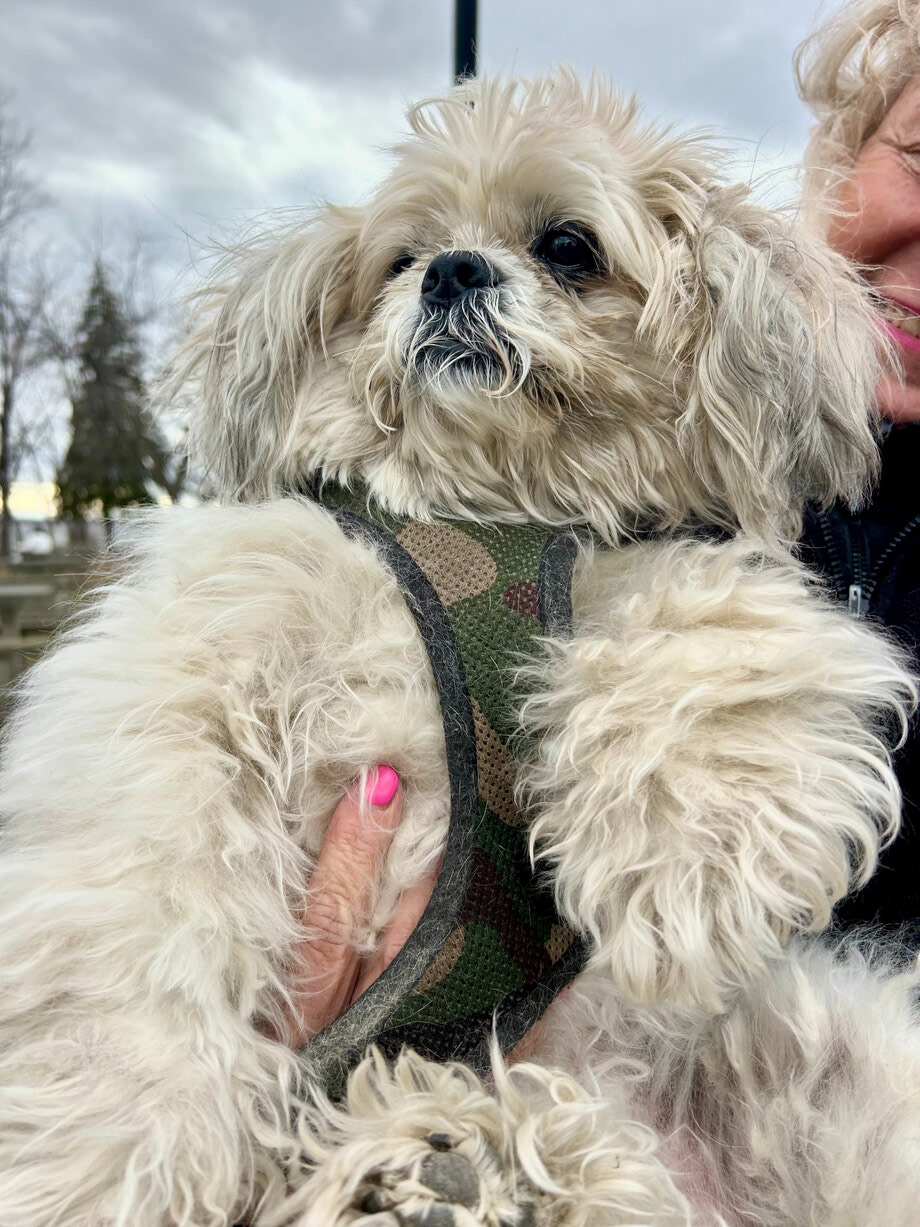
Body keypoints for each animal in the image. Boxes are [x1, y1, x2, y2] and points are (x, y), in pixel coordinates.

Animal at [2, 72, 920, 1227]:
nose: (451, 271)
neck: (488, 508)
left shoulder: (639, 570)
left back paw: (462, 1161)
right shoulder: (185, 681)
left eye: (568, 247)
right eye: (401, 259)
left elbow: (699, 641)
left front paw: (695, 863)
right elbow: (133, 920)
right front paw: (112, 1144)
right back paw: (439, 1165)